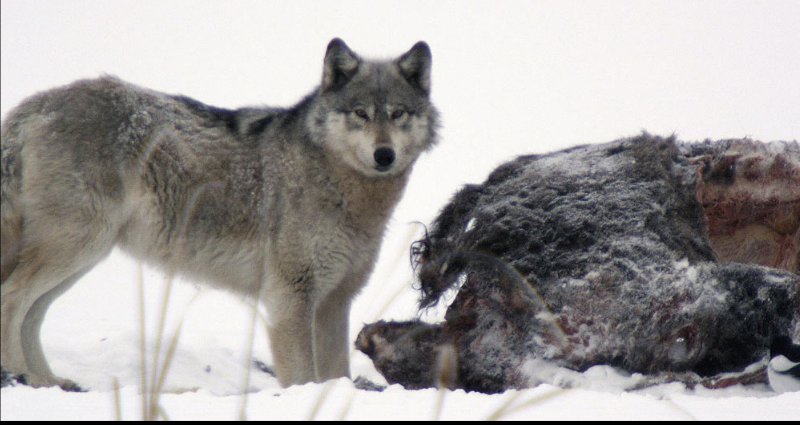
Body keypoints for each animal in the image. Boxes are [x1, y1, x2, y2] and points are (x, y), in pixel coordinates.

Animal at [0, 38, 439, 390]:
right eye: (360, 114)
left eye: (397, 113)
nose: (384, 155)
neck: (344, 188)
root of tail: (33, 106)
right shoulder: (289, 297)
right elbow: (302, 376)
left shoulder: (335, 301)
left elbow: (335, 375)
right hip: (77, 247)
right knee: (12, 299)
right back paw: (23, 377)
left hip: (82, 257)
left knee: (32, 315)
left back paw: (49, 381)